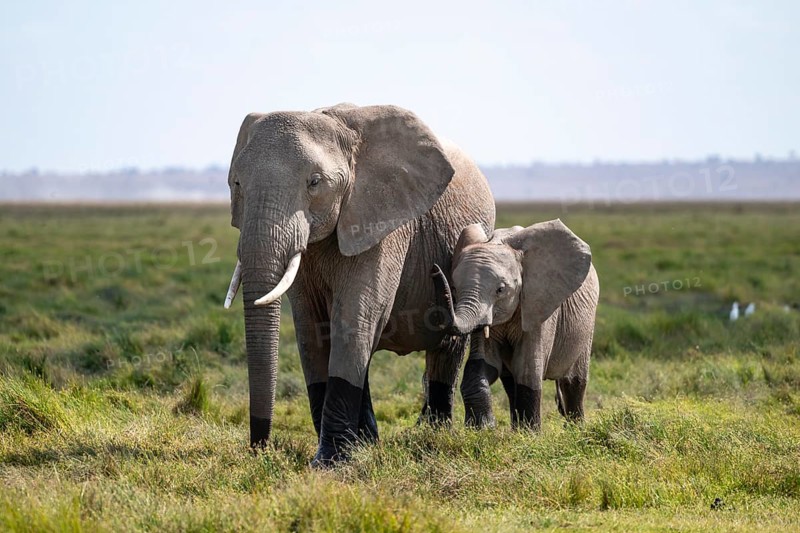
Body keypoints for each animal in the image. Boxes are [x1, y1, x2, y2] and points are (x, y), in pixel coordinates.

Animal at [222, 103, 495, 465]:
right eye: (236, 183)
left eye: (314, 182)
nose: (260, 447)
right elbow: (312, 330)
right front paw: (349, 452)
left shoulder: (382, 221)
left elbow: (355, 319)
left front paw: (329, 463)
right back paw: (370, 441)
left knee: (446, 348)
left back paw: (433, 433)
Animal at [431, 219, 599, 430]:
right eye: (454, 288)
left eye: (500, 290)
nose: (434, 269)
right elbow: (484, 364)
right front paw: (484, 428)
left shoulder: (539, 304)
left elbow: (528, 369)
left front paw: (529, 435)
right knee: (511, 384)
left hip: (587, 325)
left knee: (573, 383)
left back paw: (576, 429)